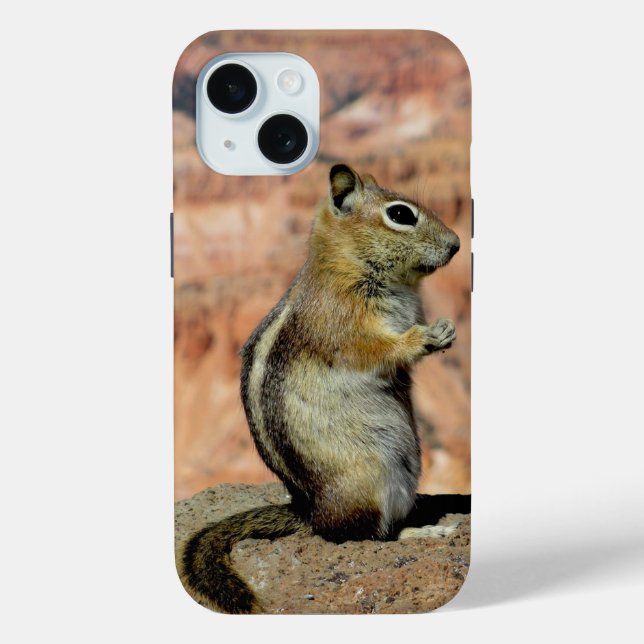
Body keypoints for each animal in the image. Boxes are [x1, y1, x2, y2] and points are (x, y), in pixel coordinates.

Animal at [178, 164, 468, 614]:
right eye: (401, 214)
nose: (456, 245)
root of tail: (310, 511)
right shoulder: (344, 323)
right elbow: (377, 350)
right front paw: (425, 337)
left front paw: (447, 330)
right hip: (371, 479)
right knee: (361, 536)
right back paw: (422, 533)